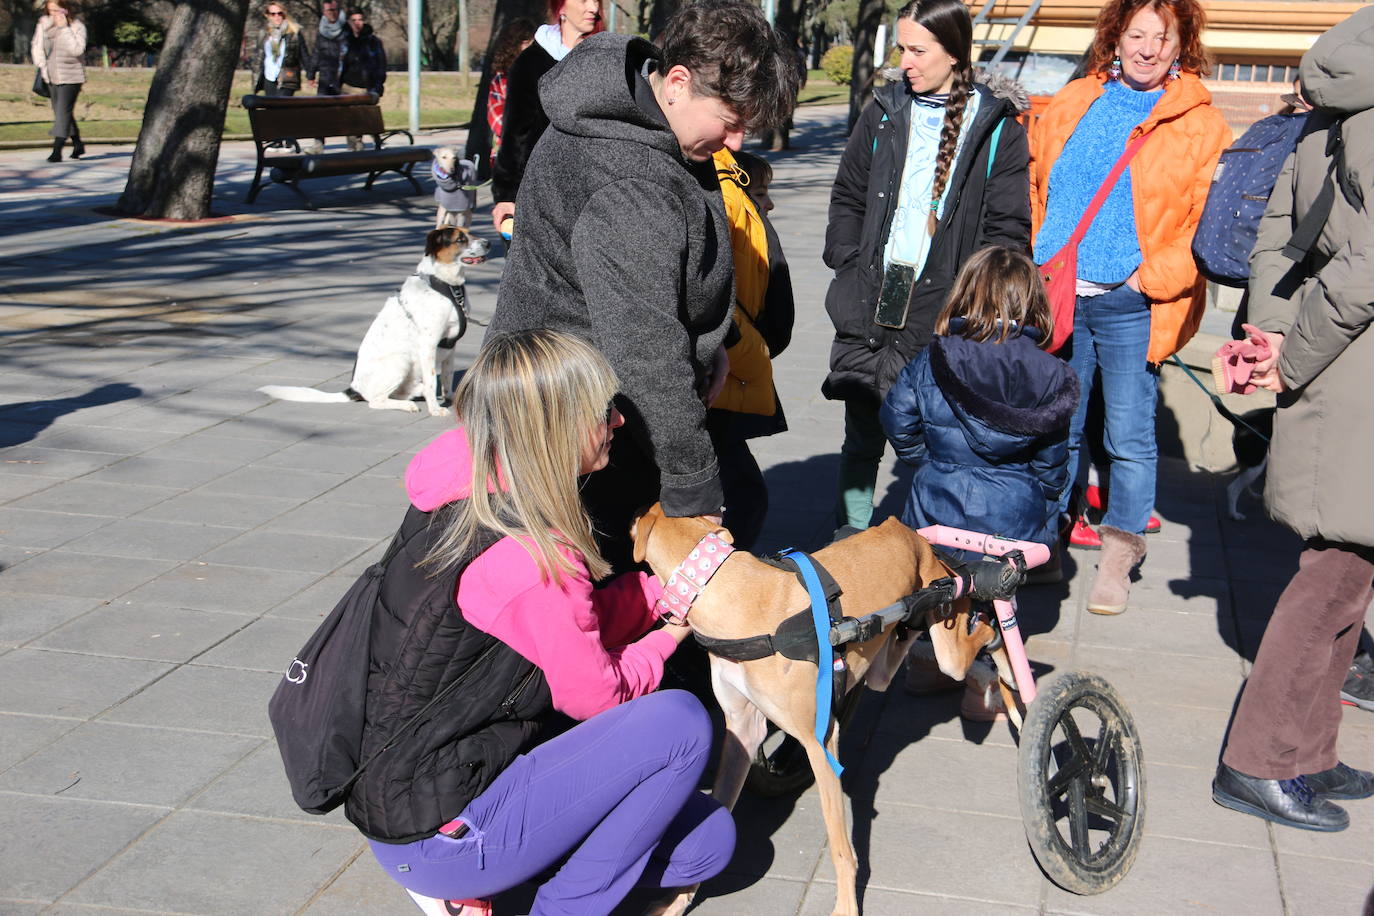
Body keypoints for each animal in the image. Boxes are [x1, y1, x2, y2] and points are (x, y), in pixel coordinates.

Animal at [259, 227, 491, 417]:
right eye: (460, 239)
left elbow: (447, 379)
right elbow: (433, 379)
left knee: (400, 393)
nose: (488, 243)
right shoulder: (429, 344)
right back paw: (410, 403)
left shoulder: (451, 345)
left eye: (469, 232)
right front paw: (435, 409)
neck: (446, 285)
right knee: (377, 401)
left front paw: (452, 398)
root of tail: (354, 389)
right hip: (400, 361)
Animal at [629, 508, 1000, 916]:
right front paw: (679, 898)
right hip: (887, 656)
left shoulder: (819, 741)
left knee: (974, 637)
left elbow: (840, 844)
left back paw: (994, 617)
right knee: (893, 659)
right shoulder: (742, 731)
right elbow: (718, 807)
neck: (737, 594)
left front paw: (846, 906)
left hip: (950, 647)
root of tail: (903, 528)